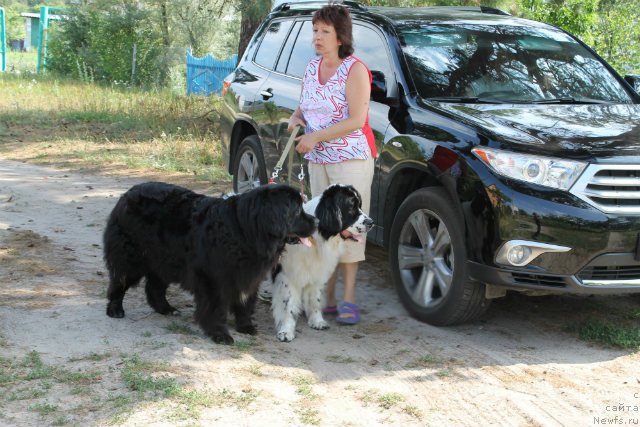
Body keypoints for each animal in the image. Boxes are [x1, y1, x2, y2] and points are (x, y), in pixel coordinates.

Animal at [102, 182, 318, 346]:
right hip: (131, 257)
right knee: (119, 282)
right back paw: (115, 309)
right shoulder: (213, 279)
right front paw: (220, 334)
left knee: (154, 286)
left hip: (164, 260)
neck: (245, 232)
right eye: (297, 210)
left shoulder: (248, 275)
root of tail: (127, 193)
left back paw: (166, 309)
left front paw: (245, 326)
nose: (316, 221)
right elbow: (215, 308)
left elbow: (245, 302)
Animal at [272, 186, 376, 342]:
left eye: (360, 205)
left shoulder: (317, 272)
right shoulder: (288, 275)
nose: (371, 222)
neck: (317, 238)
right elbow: (288, 304)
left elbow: (315, 299)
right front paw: (286, 330)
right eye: (351, 207)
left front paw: (317, 321)